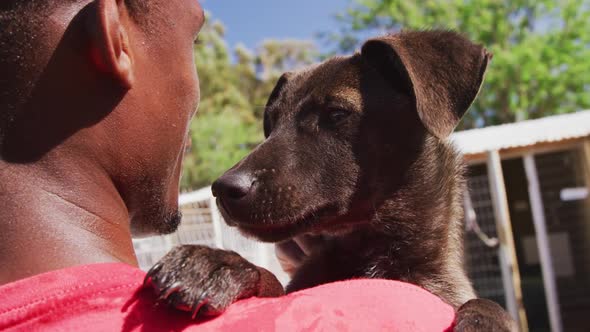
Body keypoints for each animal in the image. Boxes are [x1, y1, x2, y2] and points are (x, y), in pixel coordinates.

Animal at [147, 30, 520, 330]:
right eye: (272, 123)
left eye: (336, 114)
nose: (223, 189)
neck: (367, 254)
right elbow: (272, 283)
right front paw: (217, 265)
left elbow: (489, 304)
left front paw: (486, 319)